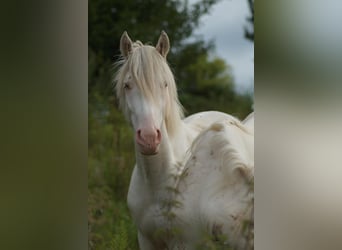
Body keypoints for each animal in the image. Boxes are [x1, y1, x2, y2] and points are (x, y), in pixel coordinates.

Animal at [115, 31, 254, 250]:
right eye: (127, 85)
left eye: (164, 84)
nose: (149, 137)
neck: (158, 183)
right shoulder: (145, 239)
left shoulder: (184, 242)